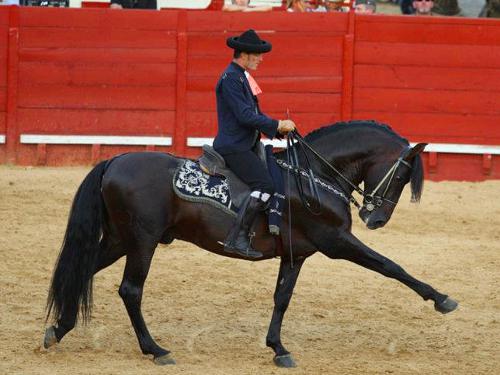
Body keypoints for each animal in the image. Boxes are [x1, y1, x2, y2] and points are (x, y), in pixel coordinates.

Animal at [43, 122, 458, 368]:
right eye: (402, 175)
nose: (376, 219)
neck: (312, 177)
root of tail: (114, 161)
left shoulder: (297, 254)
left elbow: (282, 298)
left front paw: (278, 348)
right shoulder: (336, 241)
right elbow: (390, 265)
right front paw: (441, 299)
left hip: (119, 240)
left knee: (82, 272)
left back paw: (58, 329)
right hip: (142, 241)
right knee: (130, 290)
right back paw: (155, 349)